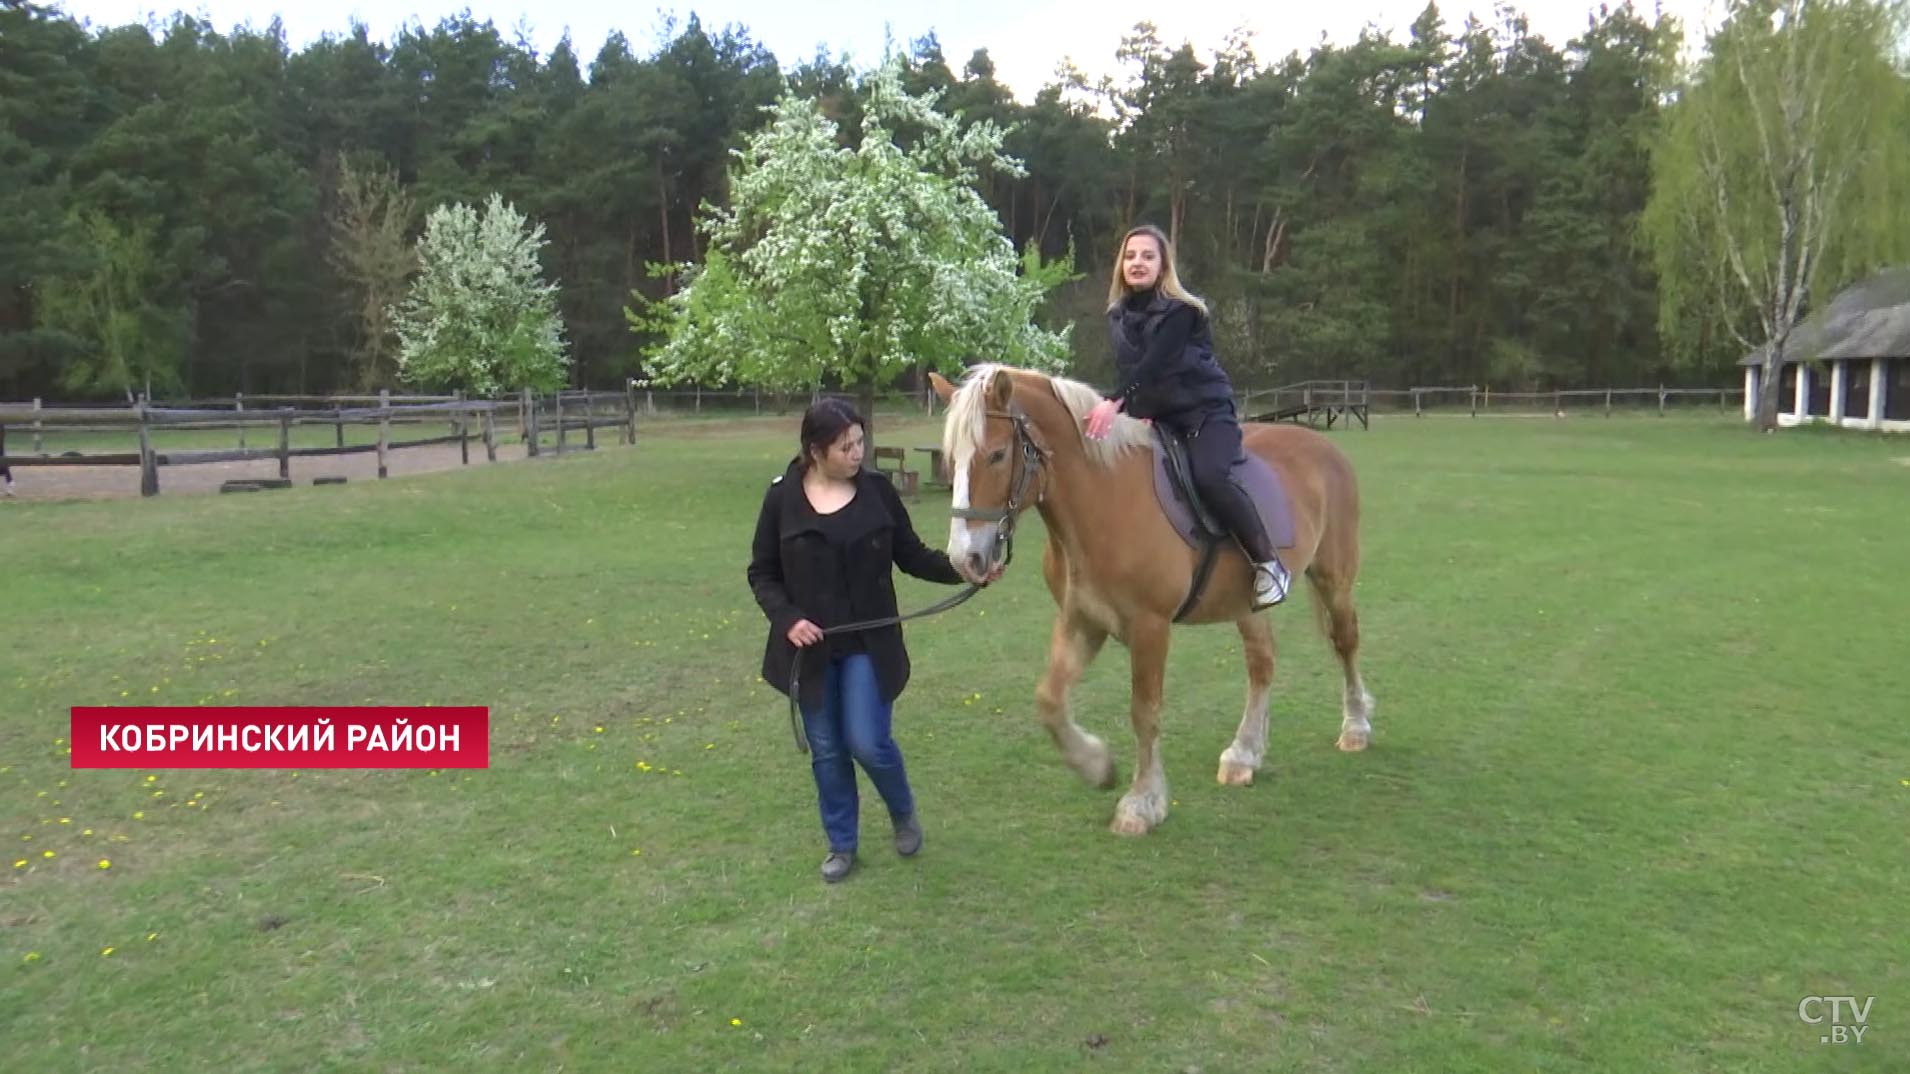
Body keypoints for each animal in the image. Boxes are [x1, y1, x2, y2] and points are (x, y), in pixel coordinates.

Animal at [928, 363, 1367, 833]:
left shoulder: (1149, 628)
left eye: (995, 455)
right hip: (1246, 604)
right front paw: (1097, 766)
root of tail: (1324, 447)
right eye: (951, 461)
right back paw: (1244, 754)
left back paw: (1356, 728)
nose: (965, 558)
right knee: (1262, 663)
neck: (1104, 501)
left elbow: (1145, 711)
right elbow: (1049, 700)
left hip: (1334, 579)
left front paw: (1142, 802)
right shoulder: (1082, 620)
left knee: (1345, 642)